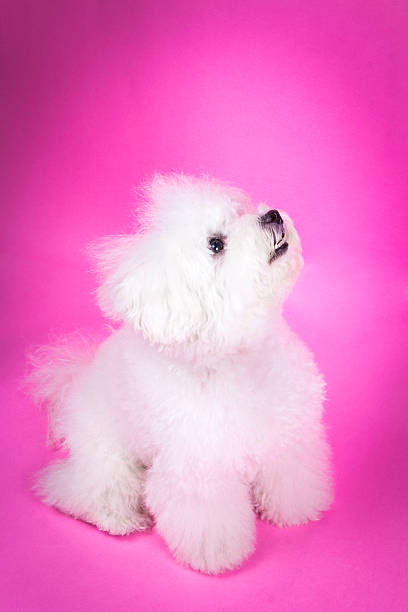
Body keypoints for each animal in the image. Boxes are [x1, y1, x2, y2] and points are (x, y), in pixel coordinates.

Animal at [29, 173, 334, 572]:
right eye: (216, 244)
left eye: (240, 211)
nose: (271, 215)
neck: (237, 355)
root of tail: (75, 379)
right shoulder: (198, 469)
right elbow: (208, 517)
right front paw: (218, 557)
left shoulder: (288, 437)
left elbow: (290, 476)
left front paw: (296, 511)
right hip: (107, 457)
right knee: (82, 491)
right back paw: (119, 520)